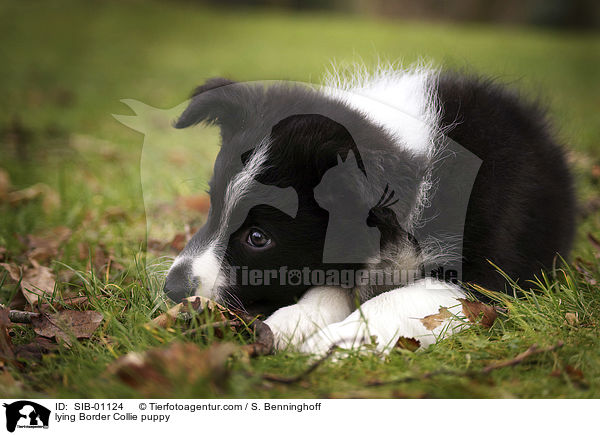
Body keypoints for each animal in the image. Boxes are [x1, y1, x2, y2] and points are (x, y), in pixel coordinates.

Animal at [162, 65, 576, 358]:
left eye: (258, 237)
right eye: (213, 205)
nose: (172, 290)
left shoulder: (484, 277)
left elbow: (397, 299)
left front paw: (337, 343)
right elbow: (330, 286)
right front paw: (292, 322)